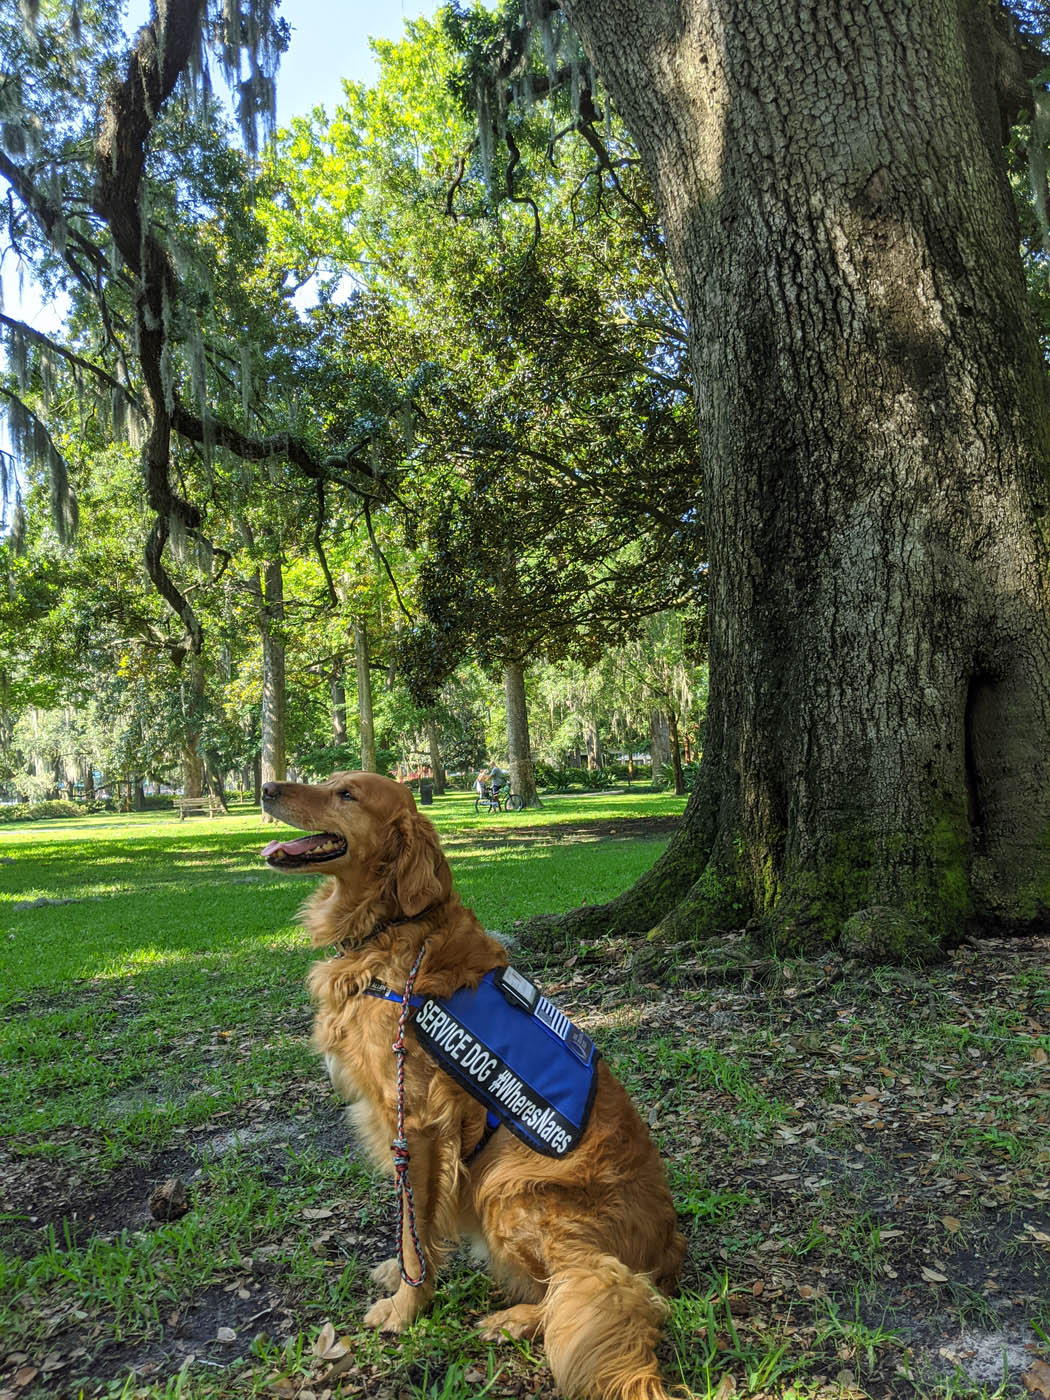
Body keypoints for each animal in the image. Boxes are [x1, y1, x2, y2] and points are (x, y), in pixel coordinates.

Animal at [264, 772, 683, 1400]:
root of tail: (669, 1249)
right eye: (329, 783)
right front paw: (400, 1275)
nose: (265, 787)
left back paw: (517, 1320)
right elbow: (415, 1224)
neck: (392, 928)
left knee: (599, 1286)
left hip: (508, 1188)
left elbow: (413, 1228)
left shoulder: (416, 1122)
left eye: (347, 795)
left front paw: (407, 1306)